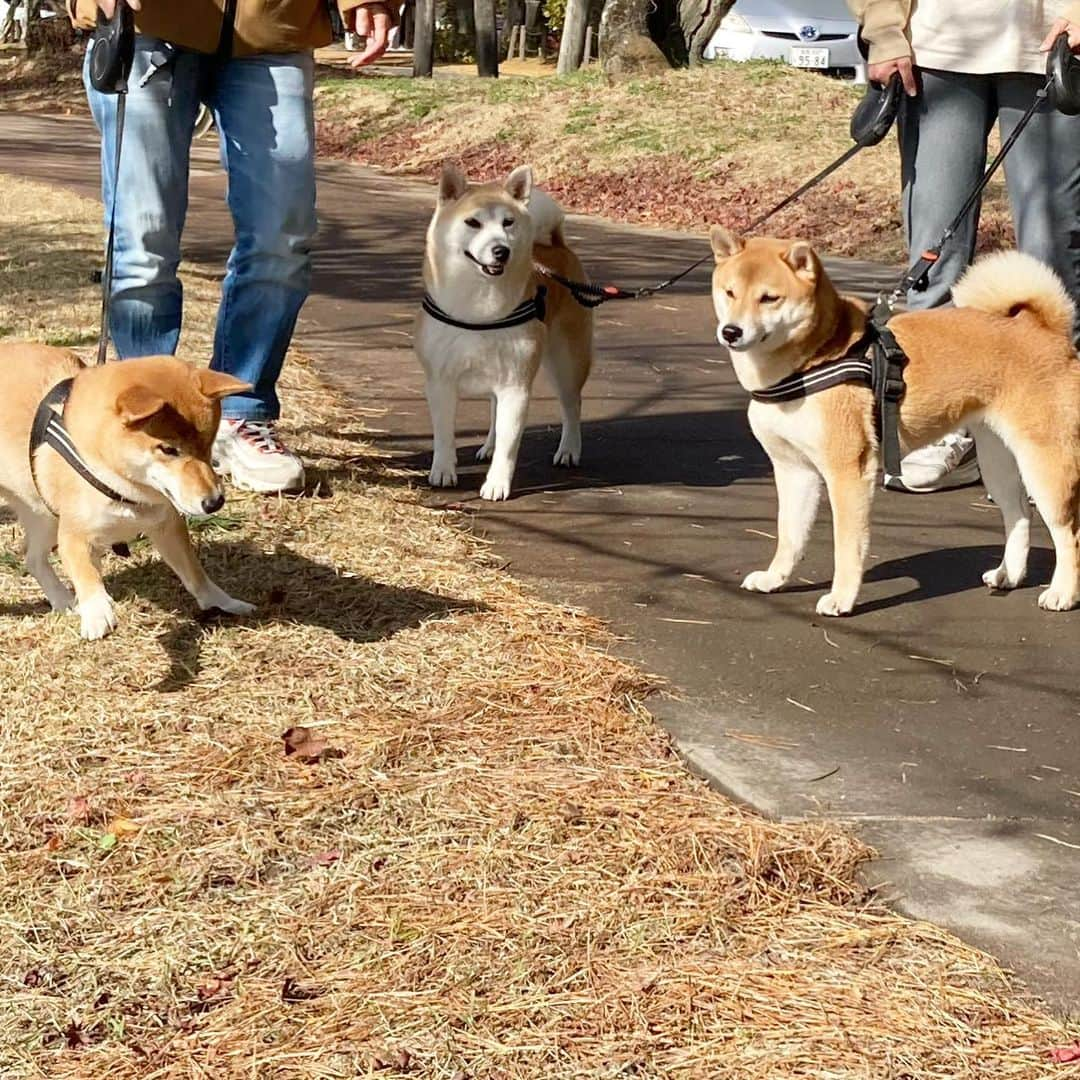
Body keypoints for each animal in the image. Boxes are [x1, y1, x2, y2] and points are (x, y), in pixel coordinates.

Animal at [0, 341, 255, 635]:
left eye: (210, 443)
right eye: (168, 449)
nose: (215, 502)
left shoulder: (167, 524)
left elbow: (195, 575)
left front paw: (224, 603)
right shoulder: (74, 534)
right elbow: (86, 574)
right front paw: (97, 612)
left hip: (43, 516)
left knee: (32, 559)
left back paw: (63, 601)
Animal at [414, 162, 600, 498]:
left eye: (508, 223)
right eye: (472, 222)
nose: (501, 250)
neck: (479, 307)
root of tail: (556, 246)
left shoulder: (516, 386)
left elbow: (509, 442)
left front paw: (497, 483)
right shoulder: (440, 382)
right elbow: (444, 434)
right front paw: (443, 471)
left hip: (566, 363)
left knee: (572, 406)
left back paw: (569, 450)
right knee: (493, 411)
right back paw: (487, 446)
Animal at [708, 227, 1080, 617]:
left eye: (769, 298)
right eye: (730, 292)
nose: (731, 331)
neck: (812, 360)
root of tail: (1044, 331)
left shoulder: (848, 472)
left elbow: (847, 546)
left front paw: (842, 597)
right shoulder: (793, 469)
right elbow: (789, 535)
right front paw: (774, 578)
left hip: (1045, 464)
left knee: (1068, 534)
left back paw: (1063, 592)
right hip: (998, 460)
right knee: (1018, 515)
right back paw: (1009, 574)